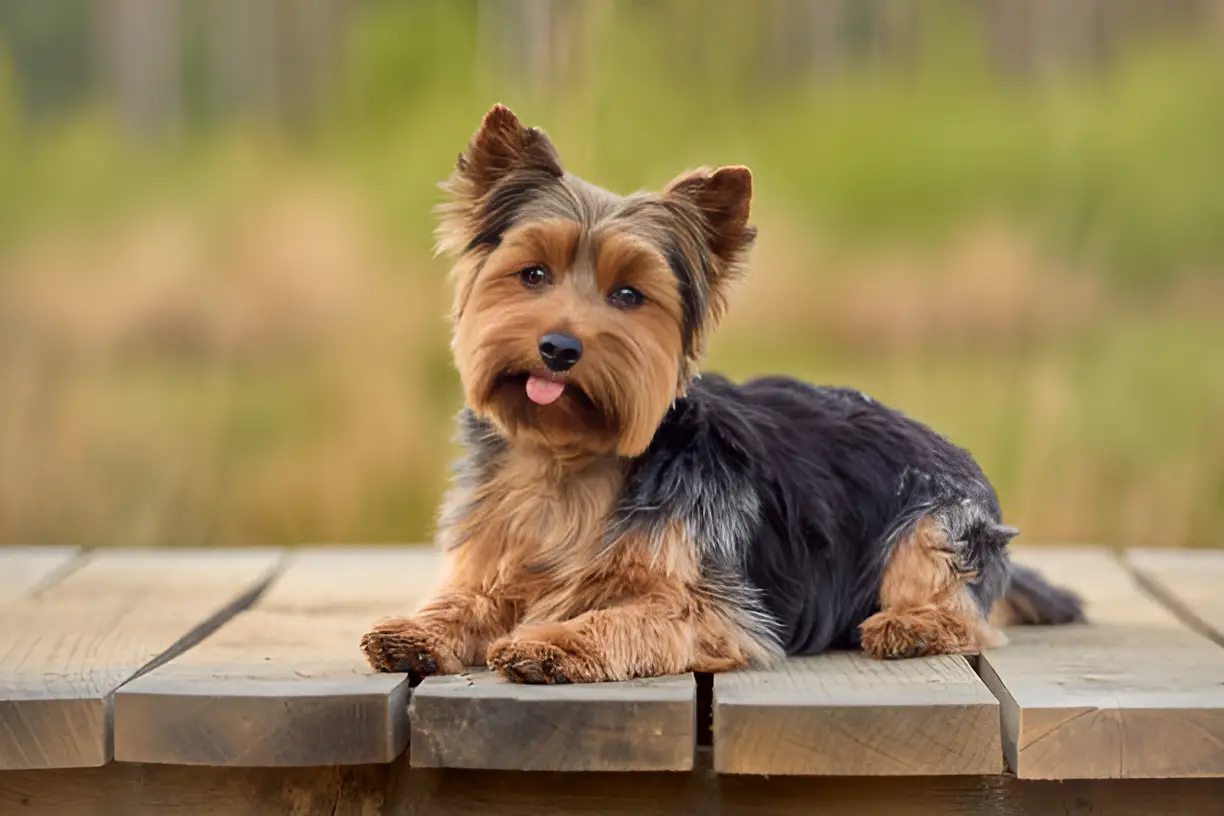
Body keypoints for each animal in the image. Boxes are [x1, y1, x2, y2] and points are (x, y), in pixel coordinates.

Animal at [357, 105, 1086, 685]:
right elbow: (471, 598)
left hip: (940, 525)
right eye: (532, 274)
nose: (559, 348)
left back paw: (908, 626)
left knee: (963, 609)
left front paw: (552, 642)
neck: (570, 460)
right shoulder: (496, 555)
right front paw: (418, 630)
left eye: (629, 295)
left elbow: (629, 616)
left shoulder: (719, 609)